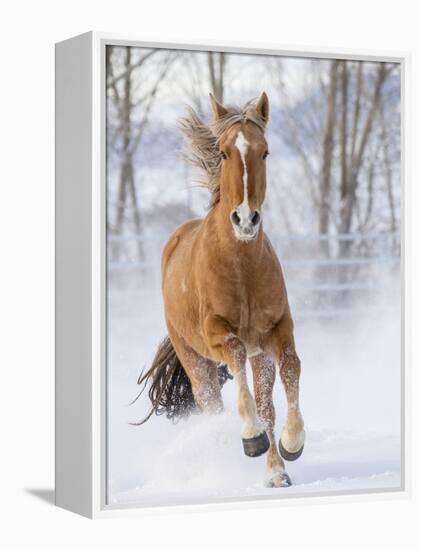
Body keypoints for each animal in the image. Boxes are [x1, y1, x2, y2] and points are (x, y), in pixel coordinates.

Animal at [138, 92, 306, 490]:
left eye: (265, 152)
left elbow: (292, 366)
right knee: (212, 405)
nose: (245, 219)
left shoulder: (277, 330)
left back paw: (276, 472)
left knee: (266, 405)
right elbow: (235, 354)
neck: (241, 267)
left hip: (259, 356)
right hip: (195, 360)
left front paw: (292, 443)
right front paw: (251, 437)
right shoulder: (218, 334)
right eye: (225, 153)